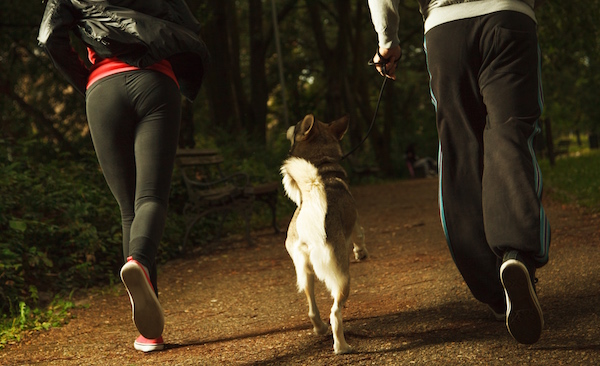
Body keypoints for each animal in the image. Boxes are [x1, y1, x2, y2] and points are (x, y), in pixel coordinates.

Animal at [282, 114, 370, 354]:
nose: (290, 123)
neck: (323, 167)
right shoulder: (355, 220)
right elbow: (359, 235)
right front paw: (361, 252)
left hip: (305, 272)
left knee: (312, 309)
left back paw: (320, 329)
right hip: (342, 277)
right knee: (335, 313)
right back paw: (342, 346)